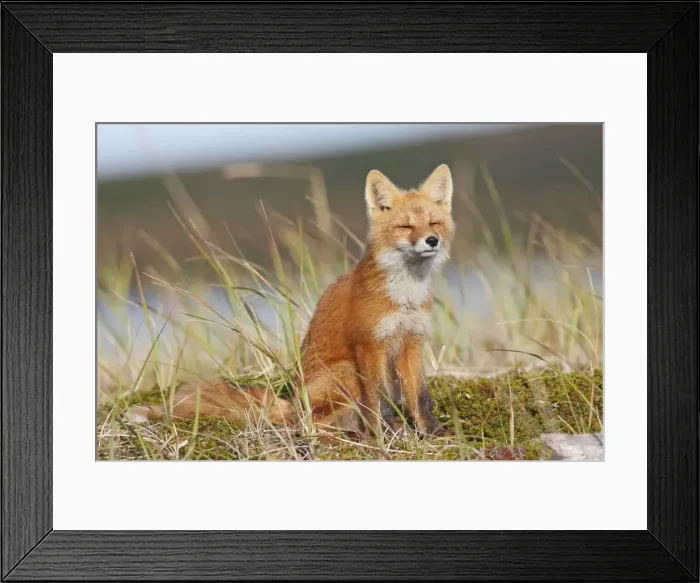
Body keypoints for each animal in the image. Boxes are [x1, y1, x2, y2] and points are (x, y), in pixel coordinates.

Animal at [125, 164, 456, 439]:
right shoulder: (369, 345)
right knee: (308, 422)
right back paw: (350, 432)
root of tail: (292, 402)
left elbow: (420, 398)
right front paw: (387, 435)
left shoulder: (411, 341)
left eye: (434, 223)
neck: (405, 297)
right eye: (406, 227)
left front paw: (432, 432)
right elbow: (380, 401)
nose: (432, 241)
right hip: (345, 371)